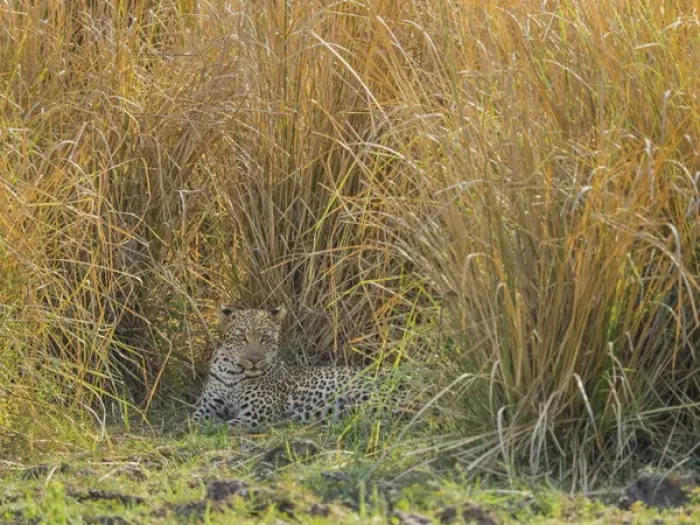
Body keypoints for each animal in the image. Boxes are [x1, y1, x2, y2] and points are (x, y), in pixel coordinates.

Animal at [190, 305, 407, 430]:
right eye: (241, 338)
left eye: (265, 338)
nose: (254, 360)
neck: (233, 374)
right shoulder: (209, 405)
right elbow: (193, 420)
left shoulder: (252, 416)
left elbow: (223, 426)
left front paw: (212, 427)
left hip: (368, 395)